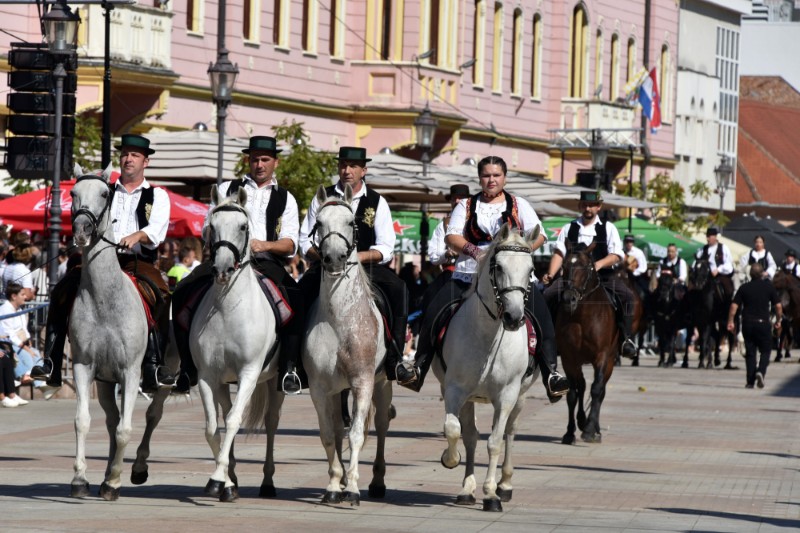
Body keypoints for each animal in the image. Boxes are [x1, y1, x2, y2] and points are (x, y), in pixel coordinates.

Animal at [69, 165, 177, 498]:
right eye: (72, 193)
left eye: (105, 194)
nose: (81, 231)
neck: (104, 300)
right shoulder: (84, 366)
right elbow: (83, 421)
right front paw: (81, 478)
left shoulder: (131, 371)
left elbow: (126, 428)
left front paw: (115, 481)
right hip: (105, 380)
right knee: (110, 420)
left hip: (164, 377)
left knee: (152, 415)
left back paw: (137, 468)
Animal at [188, 189, 284, 500]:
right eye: (211, 226)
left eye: (243, 227)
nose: (222, 269)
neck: (228, 308)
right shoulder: (207, 376)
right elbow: (212, 428)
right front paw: (226, 481)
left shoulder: (249, 374)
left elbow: (232, 421)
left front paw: (218, 478)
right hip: (222, 383)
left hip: (274, 381)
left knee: (271, 422)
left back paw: (267, 482)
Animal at [304, 185, 394, 504]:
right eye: (318, 223)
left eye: (351, 222)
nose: (334, 258)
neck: (339, 320)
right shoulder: (319, 388)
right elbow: (329, 434)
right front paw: (334, 484)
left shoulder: (363, 382)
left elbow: (356, 434)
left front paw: (353, 487)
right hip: (337, 391)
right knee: (339, 427)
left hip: (382, 385)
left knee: (381, 426)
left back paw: (376, 482)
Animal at [434, 221, 540, 512]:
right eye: (499, 267)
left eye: (531, 270)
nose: (514, 318)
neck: (488, 336)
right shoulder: (454, 390)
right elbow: (454, 430)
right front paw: (450, 459)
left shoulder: (507, 395)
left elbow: (494, 442)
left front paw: (491, 494)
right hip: (469, 397)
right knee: (471, 435)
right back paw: (466, 489)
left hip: (521, 396)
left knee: (510, 434)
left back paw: (505, 485)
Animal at [556, 243, 620, 442]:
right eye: (564, 266)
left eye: (586, 267)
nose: (569, 299)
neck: (581, 317)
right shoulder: (569, 358)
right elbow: (572, 393)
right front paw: (570, 432)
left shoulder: (602, 356)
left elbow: (597, 389)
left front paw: (590, 429)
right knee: (581, 386)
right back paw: (581, 420)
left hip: (610, 361)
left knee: (600, 389)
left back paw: (594, 428)